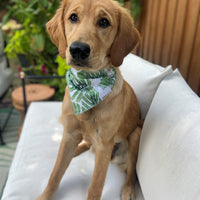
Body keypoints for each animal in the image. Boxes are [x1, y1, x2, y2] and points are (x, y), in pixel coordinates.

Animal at [36, 0, 141, 200]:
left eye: (104, 22)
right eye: (73, 17)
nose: (78, 49)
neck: (86, 86)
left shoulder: (104, 145)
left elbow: (95, 187)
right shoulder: (69, 133)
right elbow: (55, 174)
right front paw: (44, 196)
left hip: (135, 135)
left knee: (131, 170)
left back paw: (128, 189)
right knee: (82, 145)